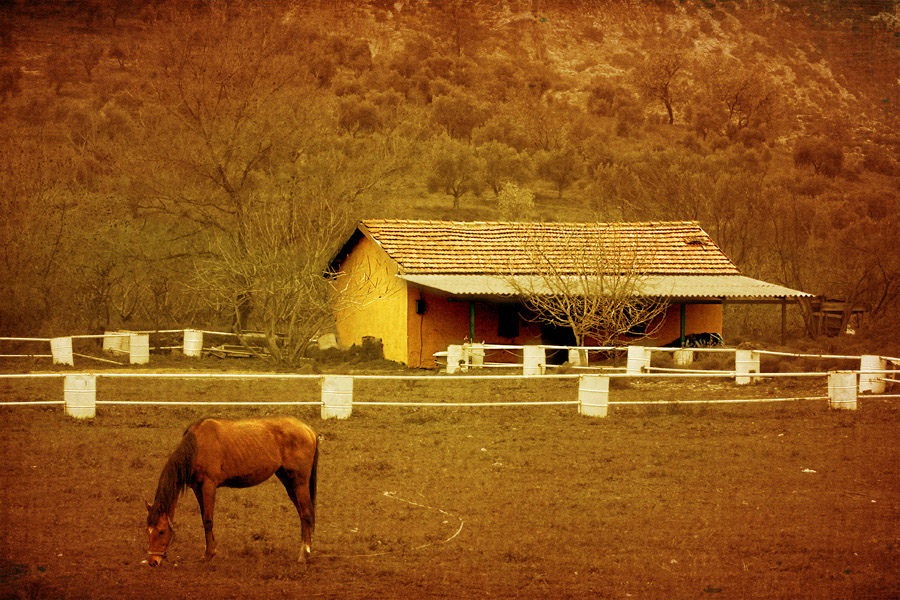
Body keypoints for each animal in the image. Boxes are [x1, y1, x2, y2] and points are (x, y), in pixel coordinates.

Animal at [146, 418, 318, 568]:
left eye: (161, 531)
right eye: (148, 531)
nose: (153, 561)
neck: (198, 444)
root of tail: (308, 430)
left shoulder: (208, 486)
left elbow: (208, 520)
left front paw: (208, 555)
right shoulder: (197, 488)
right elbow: (204, 518)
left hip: (299, 482)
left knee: (306, 513)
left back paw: (304, 555)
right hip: (289, 482)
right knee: (303, 515)